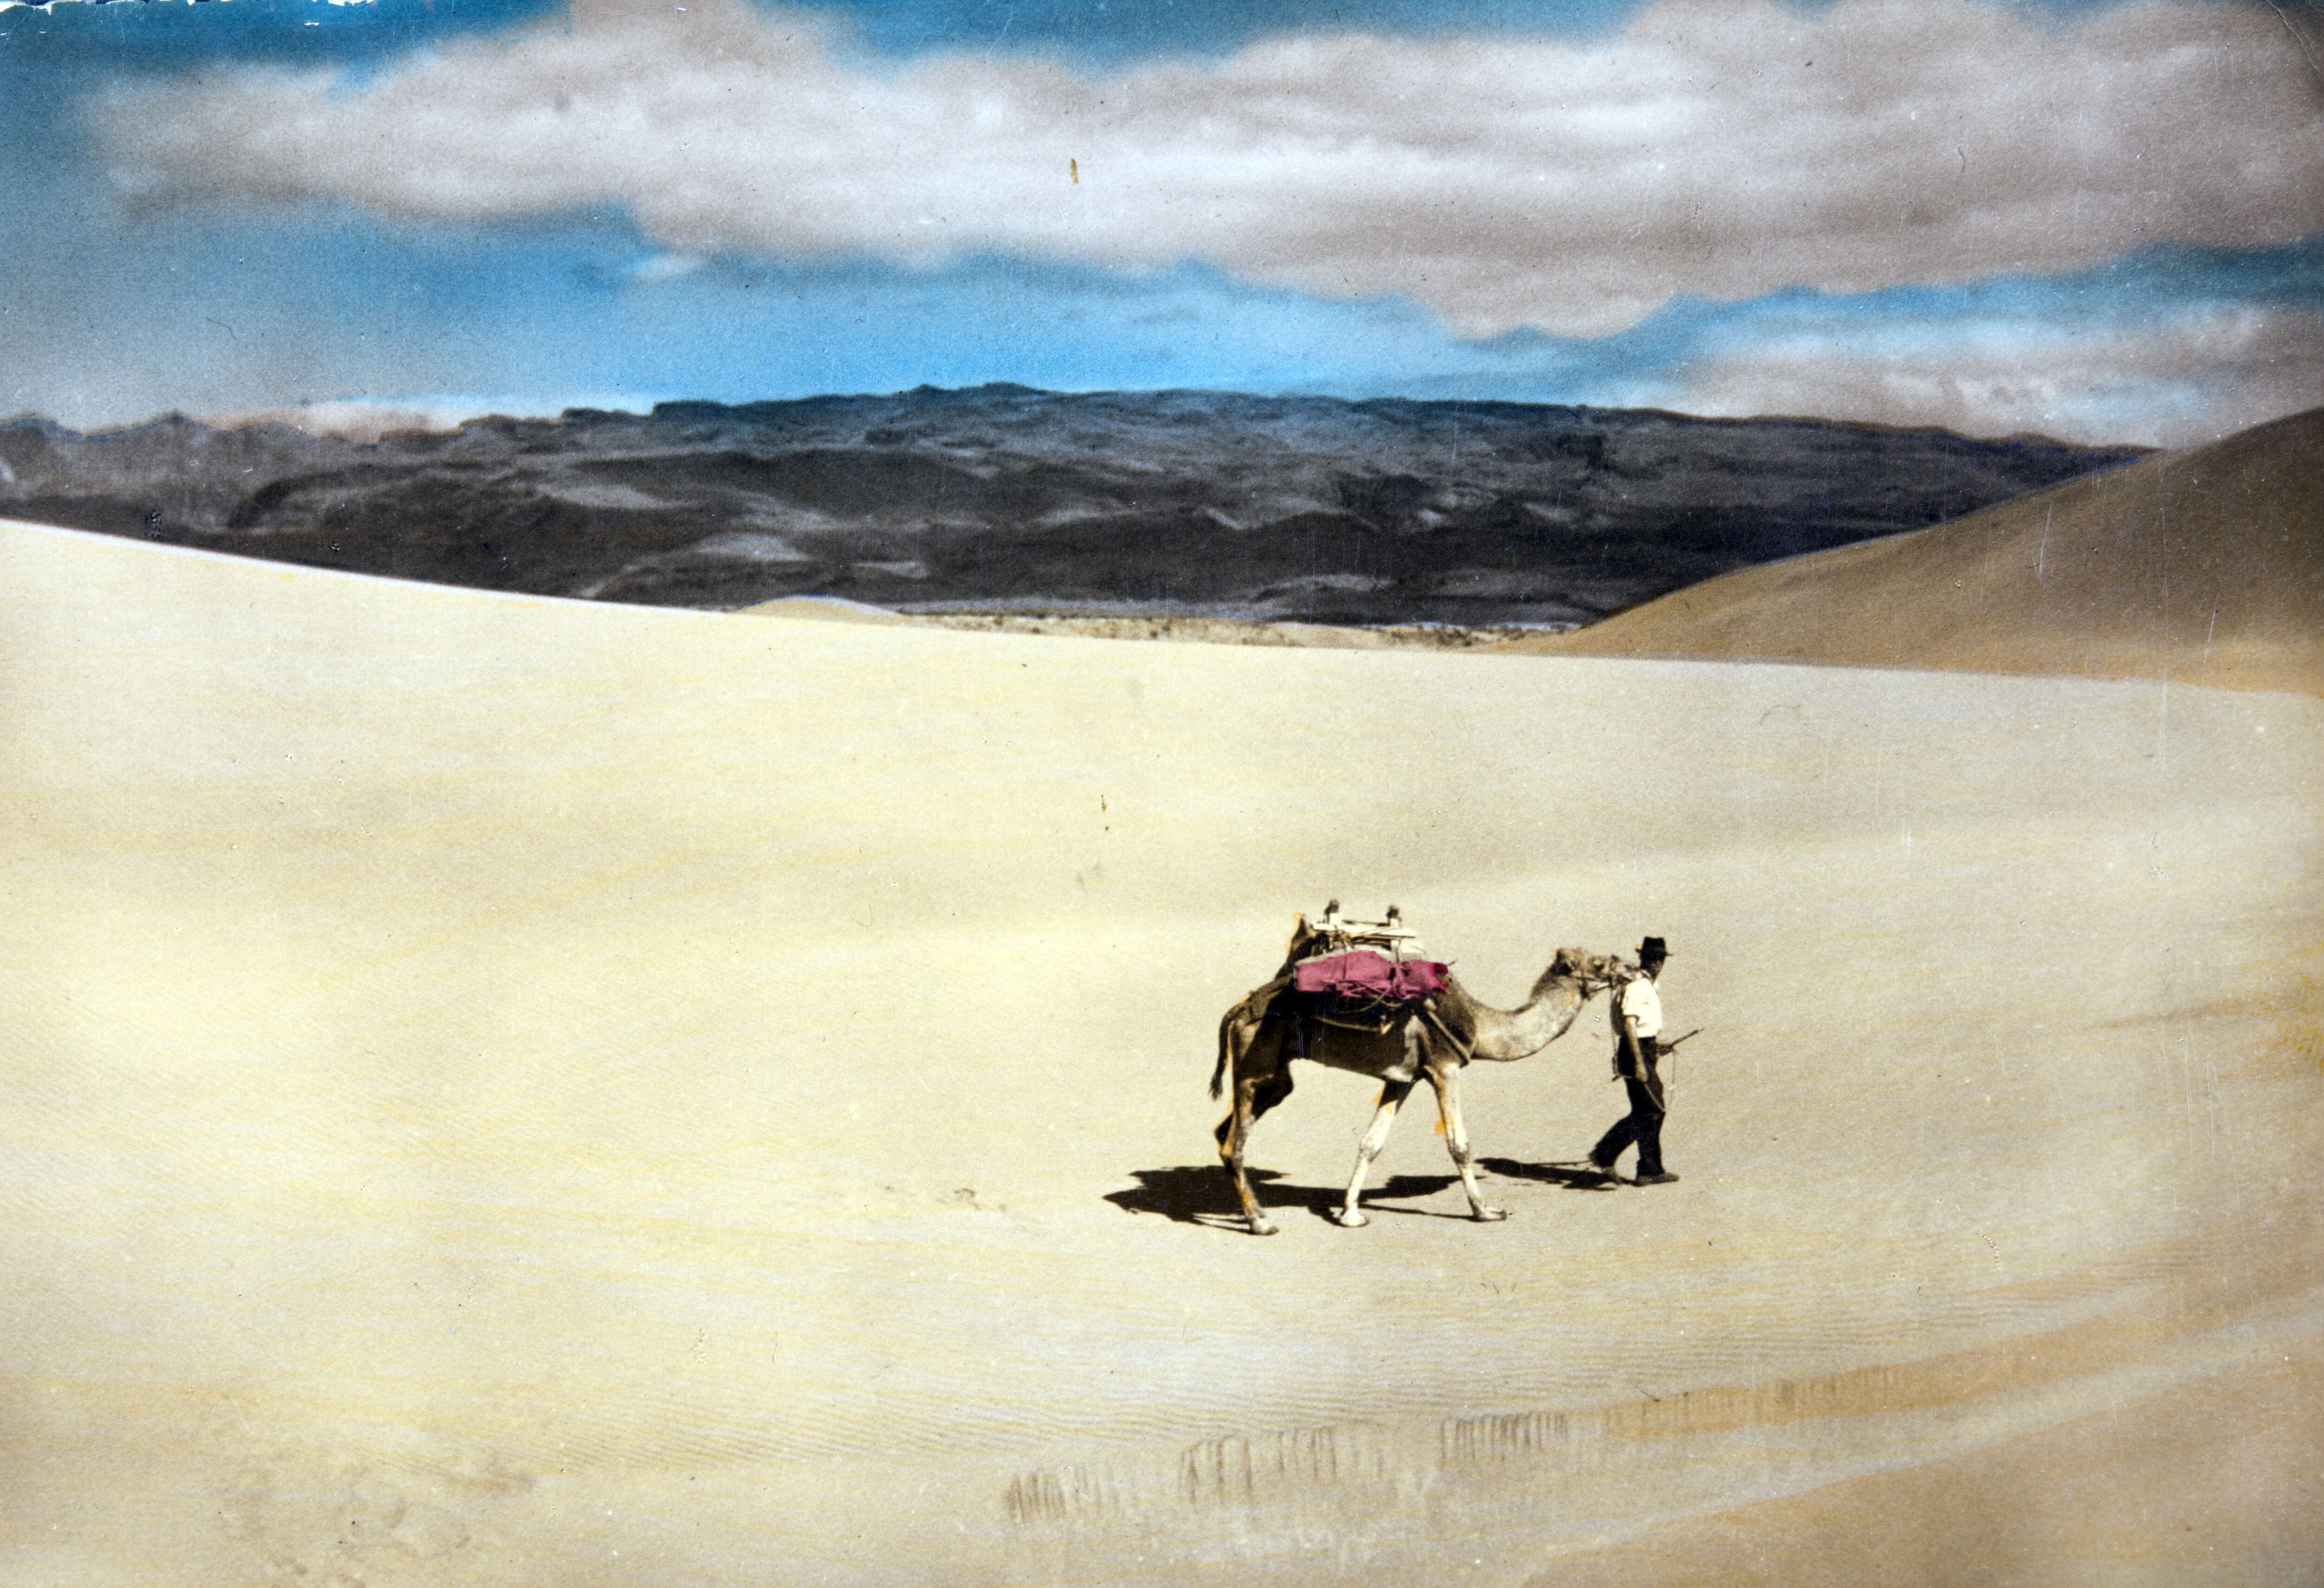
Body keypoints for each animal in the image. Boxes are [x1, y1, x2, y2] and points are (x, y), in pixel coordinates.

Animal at [1208, 939, 1627, 1237]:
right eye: (1599, 965)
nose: (1629, 966)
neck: (1480, 1025)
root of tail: (1237, 1010)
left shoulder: (1403, 1080)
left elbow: (1372, 1143)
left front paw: (1350, 1214)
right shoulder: (1445, 1068)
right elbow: (1460, 1145)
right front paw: (1487, 1211)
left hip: (1275, 1078)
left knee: (1224, 1131)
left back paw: (1255, 1213)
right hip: (1255, 1064)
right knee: (1234, 1144)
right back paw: (1261, 1223)